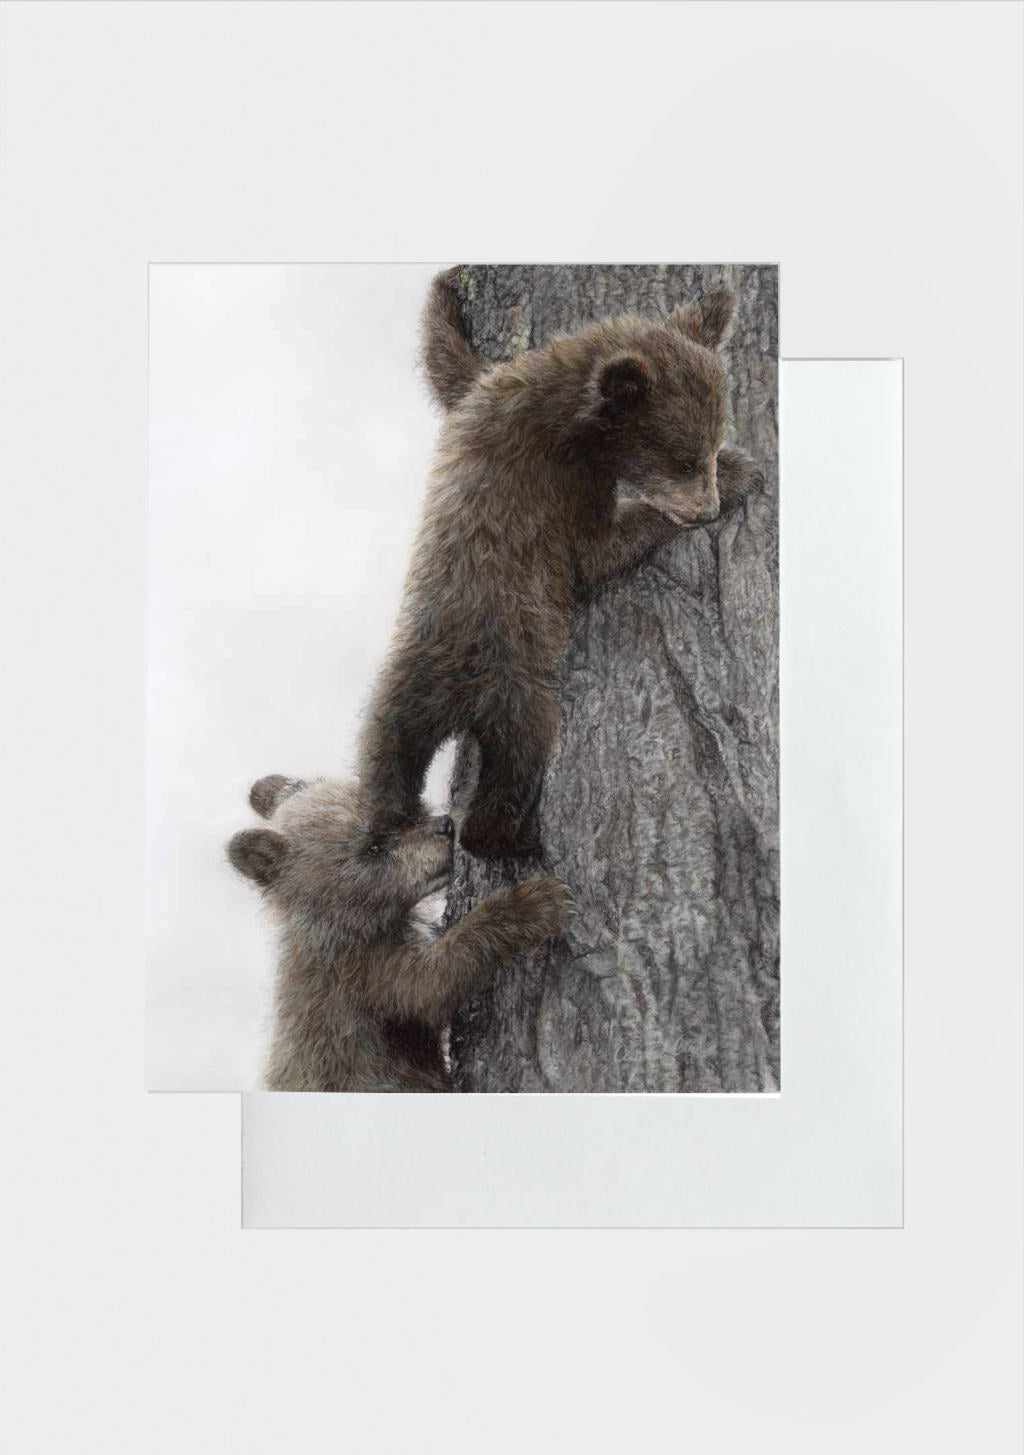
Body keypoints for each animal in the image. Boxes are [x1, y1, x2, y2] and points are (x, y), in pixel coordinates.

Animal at [227, 773, 571, 1091]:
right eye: (375, 846)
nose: (446, 826)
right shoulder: (366, 975)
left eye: (404, 815)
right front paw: (535, 903)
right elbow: (433, 983)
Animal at [357, 268, 764, 860]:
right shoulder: (558, 481)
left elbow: (449, 366)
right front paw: (741, 474)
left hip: (398, 696)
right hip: (517, 692)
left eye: (706, 450)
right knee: (518, 762)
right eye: (686, 461)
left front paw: (447, 290)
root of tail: (453, 695)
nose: (706, 509)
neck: (565, 413)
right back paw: (511, 839)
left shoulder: (484, 394)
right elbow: (595, 550)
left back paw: (391, 822)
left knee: (383, 767)